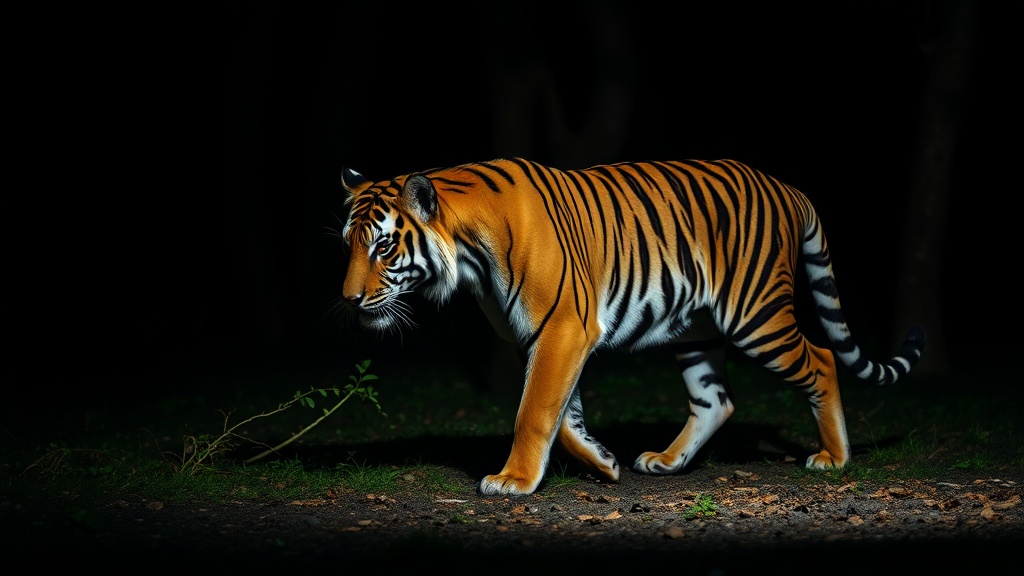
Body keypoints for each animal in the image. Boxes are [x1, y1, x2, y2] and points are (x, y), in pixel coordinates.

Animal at [338, 157, 925, 496]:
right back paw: (665, 461)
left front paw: (513, 480)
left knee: (822, 359)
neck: (468, 255)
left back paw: (833, 459)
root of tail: (788, 188)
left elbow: (534, 411)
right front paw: (602, 463)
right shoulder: (541, 337)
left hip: (755, 315)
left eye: (383, 246)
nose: (349, 301)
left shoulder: (563, 328)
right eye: (348, 244)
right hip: (696, 330)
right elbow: (563, 415)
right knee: (716, 400)